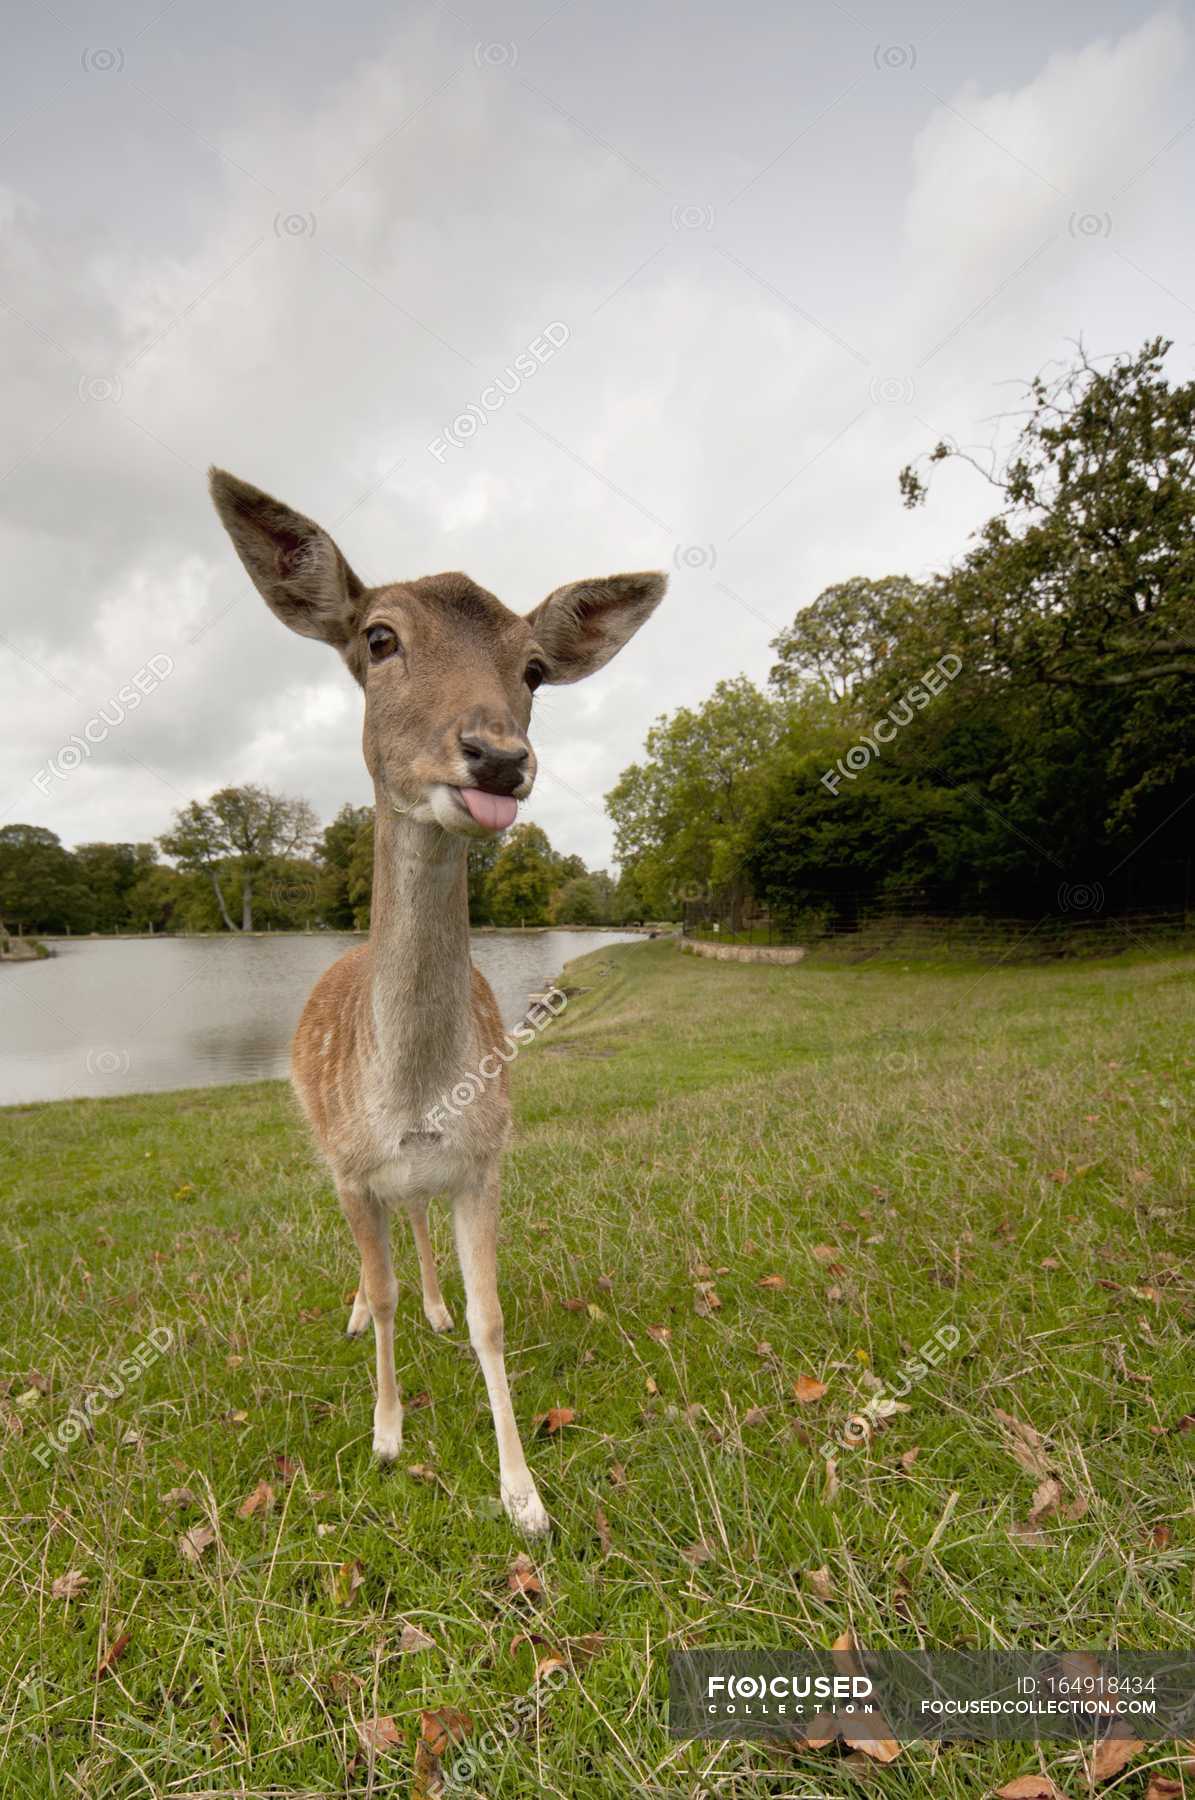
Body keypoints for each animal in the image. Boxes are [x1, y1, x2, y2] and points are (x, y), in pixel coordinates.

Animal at [208, 469, 665, 1536]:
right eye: (379, 637)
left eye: (534, 668)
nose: (496, 755)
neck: (415, 1095)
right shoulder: (348, 1165)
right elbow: (373, 1292)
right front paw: (384, 1438)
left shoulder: (485, 1155)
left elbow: (495, 1317)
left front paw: (524, 1495)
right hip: (324, 1148)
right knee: (368, 1253)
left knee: (413, 1232)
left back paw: (432, 1304)